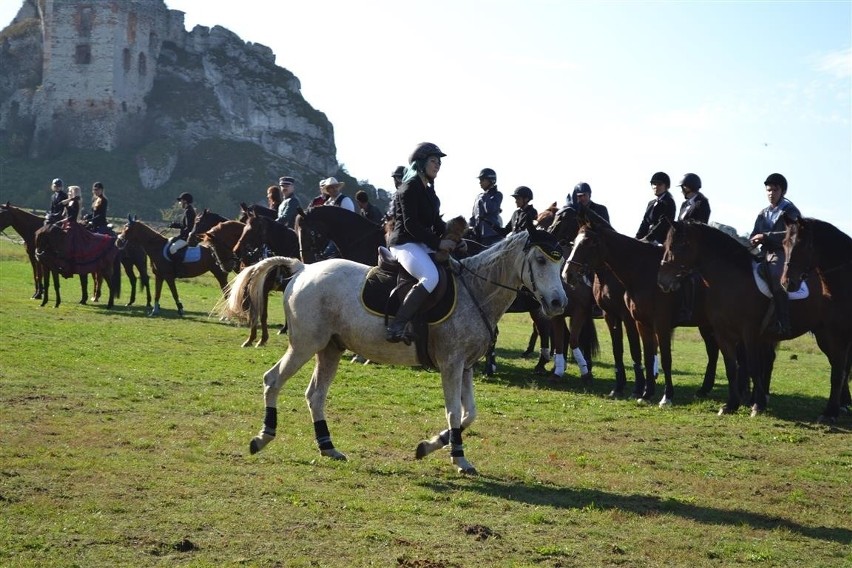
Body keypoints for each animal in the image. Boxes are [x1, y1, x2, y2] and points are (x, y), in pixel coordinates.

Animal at [216, 229, 568, 472]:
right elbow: (455, 412)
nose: (558, 303)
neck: (477, 292)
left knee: (315, 395)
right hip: (305, 345)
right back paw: (263, 437)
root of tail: (303, 268)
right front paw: (459, 458)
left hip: (330, 349)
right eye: (540, 260)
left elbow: (469, 414)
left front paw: (429, 446)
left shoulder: (466, 366)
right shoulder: (451, 364)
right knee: (273, 379)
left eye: (560, 261)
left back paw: (328, 447)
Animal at [660, 220, 844, 420]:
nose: (662, 281)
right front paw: (731, 405)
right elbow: (731, 367)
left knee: (839, 367)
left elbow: (753, 367)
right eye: (667, 244)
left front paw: (757, 404)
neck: (731, 281)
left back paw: (835, 410)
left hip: (832, 334)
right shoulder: (722, 334)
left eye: (681, 244)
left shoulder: (750, 334)